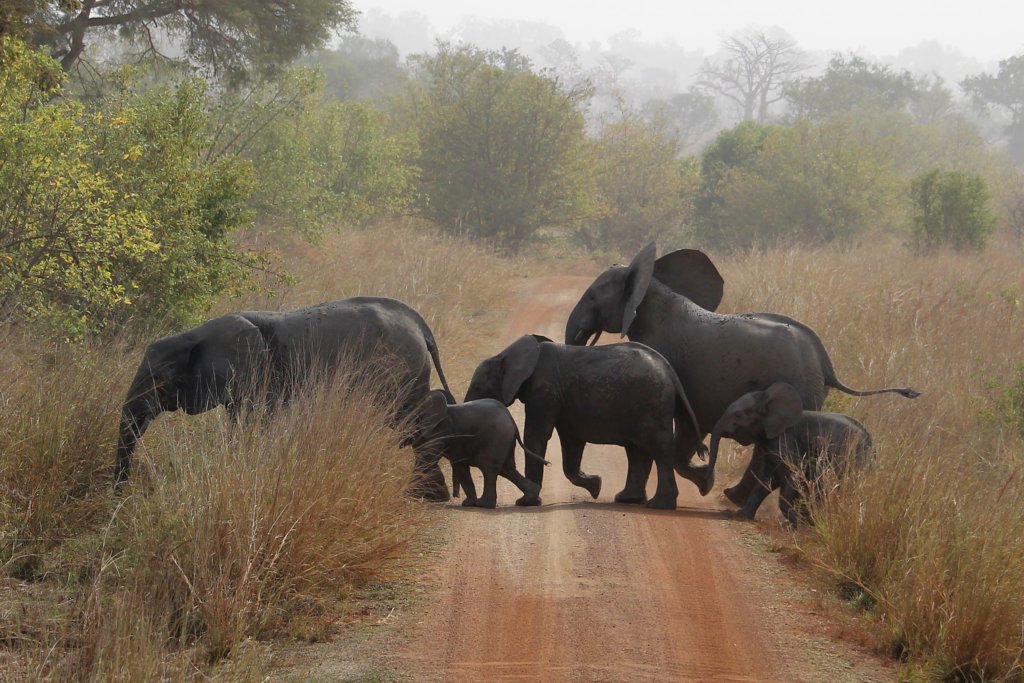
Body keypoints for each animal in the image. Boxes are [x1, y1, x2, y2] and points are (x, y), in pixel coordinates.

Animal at [114, 296, 454, 499]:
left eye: (159, 380)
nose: (119, 495)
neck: (194, 335)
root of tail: (421, 326)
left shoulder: (253, 373)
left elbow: (254, 421)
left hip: (393, 371)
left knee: (410, 417)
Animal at [413, 389, 548, 507]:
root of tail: (512, 422)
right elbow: (459, 465)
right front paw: (468, 503)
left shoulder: (440, 430)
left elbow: (428, 457)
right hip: (505, 441)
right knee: (507, 470)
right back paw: (525, 500)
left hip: (497, 438)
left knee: (489, 469)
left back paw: (484, 504)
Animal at [462, 333, 704, 509]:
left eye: (478, 388)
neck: (505, 355)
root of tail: (671, 373)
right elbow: (572, 442)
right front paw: (596, 486)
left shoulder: (544, 389)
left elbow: (537, 435)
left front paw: (527, 503)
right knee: (638, 451)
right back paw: (628, 499)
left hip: (651, 403)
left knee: (658, 450)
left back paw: (659, 505)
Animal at [565, 242, 917, 499]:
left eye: (592, 297)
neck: (651, 282)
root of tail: (826, 363)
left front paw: (702, 482)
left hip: (799, 387)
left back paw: (733, 499)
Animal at [712, 382, 872, 528]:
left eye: (738, 415)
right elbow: (767, 480)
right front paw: (740, 516)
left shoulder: (786, 440)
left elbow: (793, 476)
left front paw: (800, 525)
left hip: (848, 458)